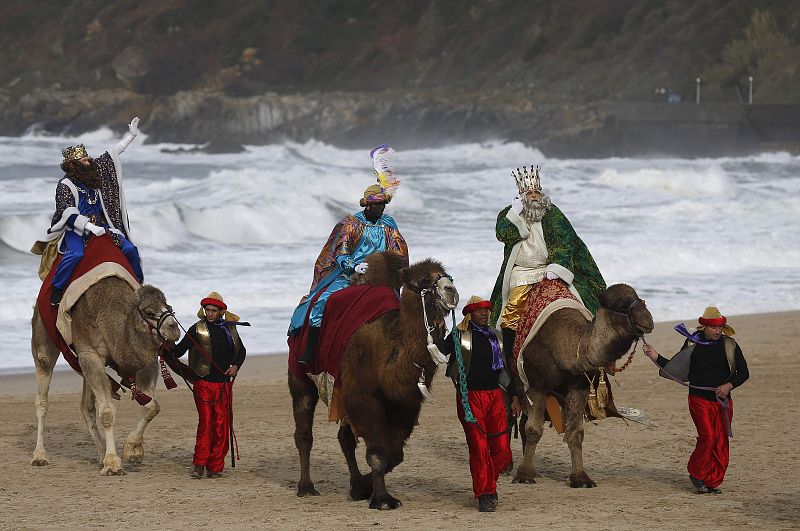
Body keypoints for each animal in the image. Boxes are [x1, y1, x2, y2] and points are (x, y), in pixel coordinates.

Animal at [29, 276, 180, 476]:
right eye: (149, 311)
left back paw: (101, 454)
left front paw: (132, 449)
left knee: (86, 406)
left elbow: (152, 406)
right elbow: (107, 412)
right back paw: (39, 455)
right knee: (42, 392)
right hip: (43, 335)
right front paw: (113, 464)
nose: (174, 328)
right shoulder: (89, 353)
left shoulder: (145, 360)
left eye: (168, 306)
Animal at [290, 254, 460, 512]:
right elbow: (378, 454)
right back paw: (306, 487)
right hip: (300, 374)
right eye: (422, 280)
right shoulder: (363, 398)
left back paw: (353, 483)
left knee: (346, 438)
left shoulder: (405, 406)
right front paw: (382, 499)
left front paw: (362, 486)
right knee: (304, 431)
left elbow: (395, 454)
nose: (451, 290)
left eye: (447, 275)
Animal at [516, 284, 652, 488]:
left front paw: (580, 478)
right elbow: (533, 429)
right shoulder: (536, 384)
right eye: (620, 306)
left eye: (640, 298)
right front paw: (524, 475)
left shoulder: (578, 387)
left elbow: (575, 432)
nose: (648, 319)